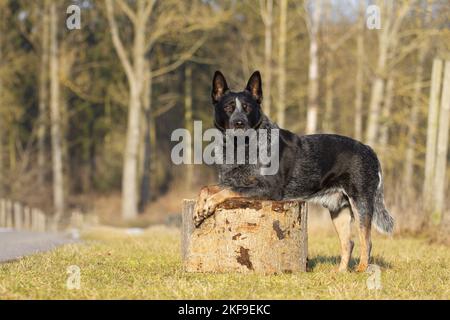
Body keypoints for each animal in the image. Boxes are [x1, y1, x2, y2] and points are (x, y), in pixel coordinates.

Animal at [194, 70, 394, 272]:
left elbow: (228, 191)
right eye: (228, 107)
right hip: (339, 210)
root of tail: (369, 150)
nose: (239, 123)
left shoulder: (269, 189)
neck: (240, 149)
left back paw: (360, 271)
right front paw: (199, 208)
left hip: (361, 201)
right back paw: (340, 273)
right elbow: (208, 187)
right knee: (349, 243)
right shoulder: (233, 181)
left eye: (247, 107)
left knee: (366, 241)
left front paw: (209, 204)